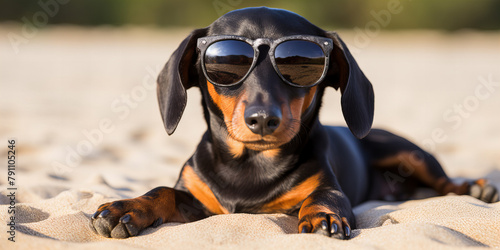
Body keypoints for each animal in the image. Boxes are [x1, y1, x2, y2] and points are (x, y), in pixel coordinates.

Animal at [89, 6, 496, 239]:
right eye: (226, 62)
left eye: (302, 63)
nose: (262, 119)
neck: (251, 164)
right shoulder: (197, 199)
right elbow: (163, 191)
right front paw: (126, 208)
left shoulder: (329, 187)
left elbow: (323, 197)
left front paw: (322, 216)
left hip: (408, 153)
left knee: (444, 181)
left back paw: (476, 188)